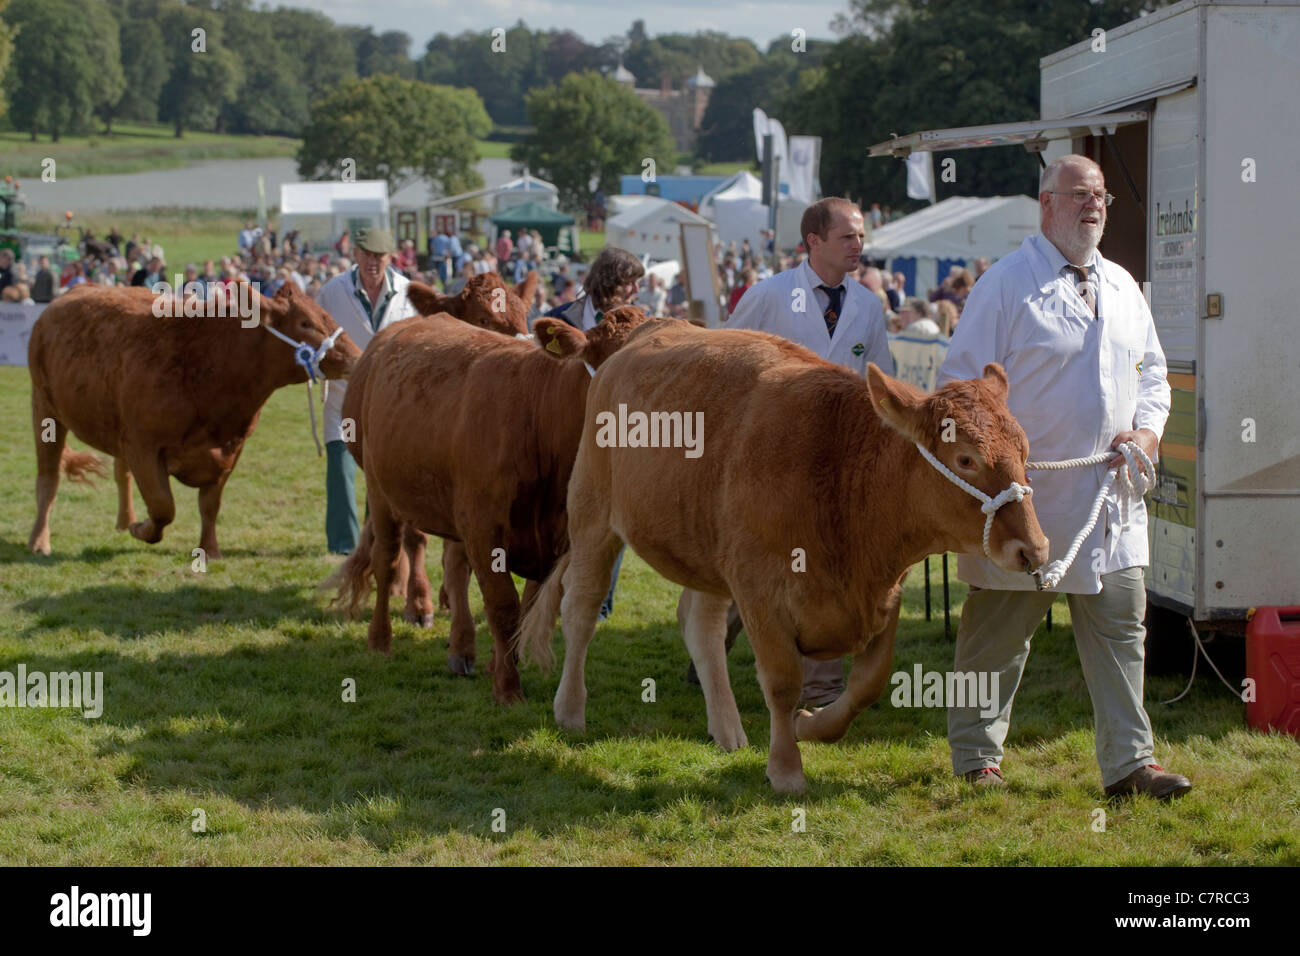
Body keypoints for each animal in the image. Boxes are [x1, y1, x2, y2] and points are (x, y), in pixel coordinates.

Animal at [26, 280, 361, 556]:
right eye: (305, 322)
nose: (357, 357)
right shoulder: (143, 446)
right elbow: (163, 506)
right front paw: (142, 529)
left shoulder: (231, 449)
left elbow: (209, 505)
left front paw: (209, 549)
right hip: (45, 409)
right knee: (48, 479)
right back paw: (39, 540)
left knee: (120, 473)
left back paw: (124, 521)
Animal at [335, 306, 660, 702]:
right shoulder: (483, 528)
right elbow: (503, 606)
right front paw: (508, 688)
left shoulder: (555, 538)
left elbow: (525, 609)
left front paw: (499, 664)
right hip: (381, 491)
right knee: (386, 560)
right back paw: (380, 641)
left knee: (454, 569)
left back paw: (461, 649)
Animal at [512, 321, 1050, 790]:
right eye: (965, 459)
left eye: (1025, 449)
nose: (1036, 548)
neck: (838, 472)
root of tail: (645, 330)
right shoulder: (759, 590)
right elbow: (782, 681)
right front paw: (787, 769)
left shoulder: (885, 591)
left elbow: (869, 681)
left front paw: (811, 725)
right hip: (592, 513)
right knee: (580, 610)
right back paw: (570, 709)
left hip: (707, 549)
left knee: (700, 628)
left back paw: (727, 730)